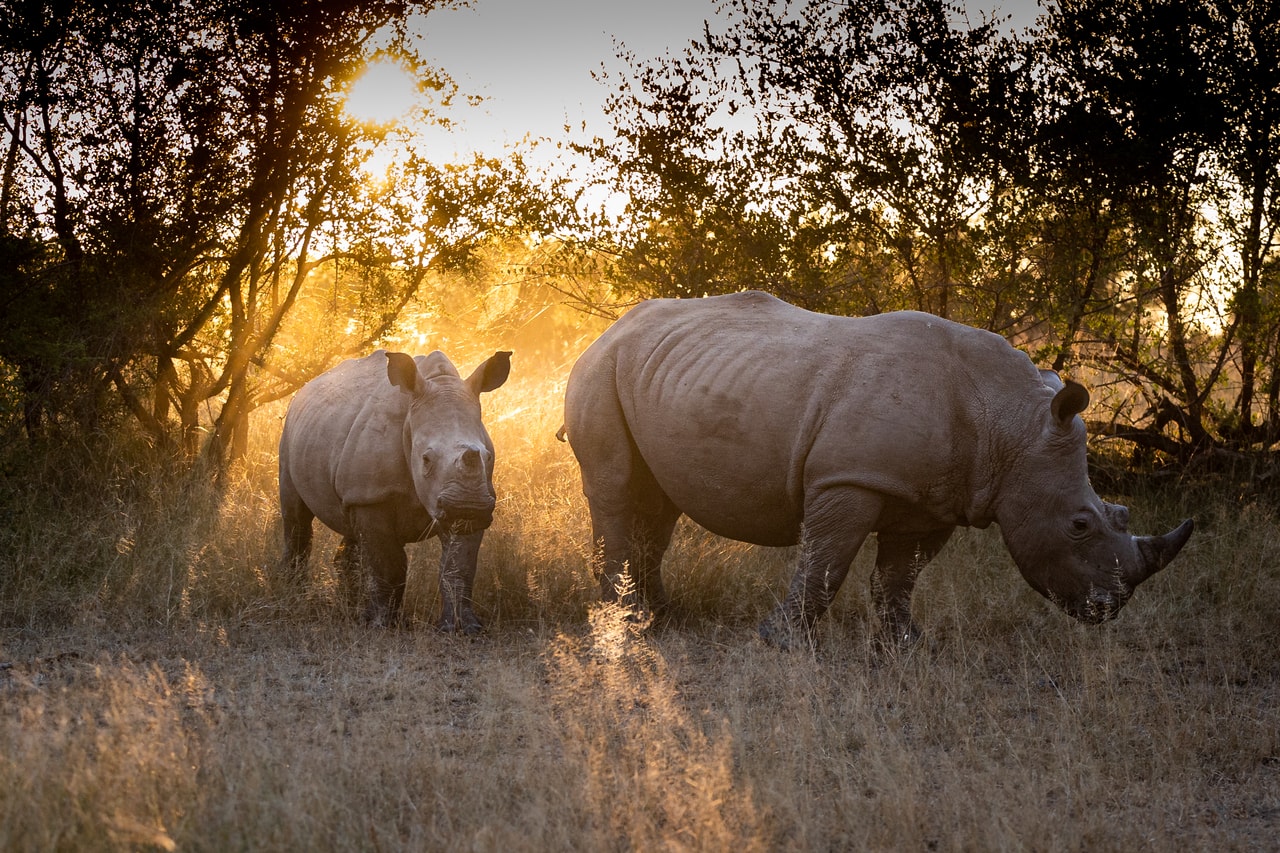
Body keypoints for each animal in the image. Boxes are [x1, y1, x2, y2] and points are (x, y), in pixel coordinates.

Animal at [278, 349, 511, 629]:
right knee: (296, 517)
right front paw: (382, 624)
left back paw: (351, 608)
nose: (467, 507)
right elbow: (388, 563)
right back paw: (294, 596)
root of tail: (306, 387)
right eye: (426, 459)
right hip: (290, 432)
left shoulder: (476, 499)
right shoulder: (373, 498)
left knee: (350, 527)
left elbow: (459, 566)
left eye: (487, 456)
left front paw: (463, 628)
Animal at [562, 291, 1193, 645]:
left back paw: (659, 618)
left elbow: (900, 575)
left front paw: (905, 645)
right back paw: (626, 621)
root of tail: (607, 329)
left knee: (657, 502)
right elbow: (826, 563)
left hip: (658, 372)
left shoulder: (934, 497)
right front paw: (781, 643)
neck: (1011, 424)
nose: (1107, 609)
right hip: (598, 369)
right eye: (1080, 524)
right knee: (617, 489)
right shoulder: (848, 478)